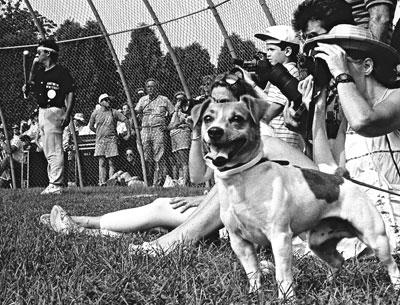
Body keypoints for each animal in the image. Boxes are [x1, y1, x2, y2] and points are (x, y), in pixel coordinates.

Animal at [191, 95, 400, 300]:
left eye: (237, 118)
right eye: (207, 118)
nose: (214, 131)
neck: (241, 180)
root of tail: (342, 178)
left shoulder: (279, 238)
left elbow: (282, 276)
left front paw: (286, 298)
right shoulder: (239, 242)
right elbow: (253, 272)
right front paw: (254, 294)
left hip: (376, 239)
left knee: (392, 266)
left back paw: (395, 287)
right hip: (319, 242)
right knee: (337, 261)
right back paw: (328, 287)